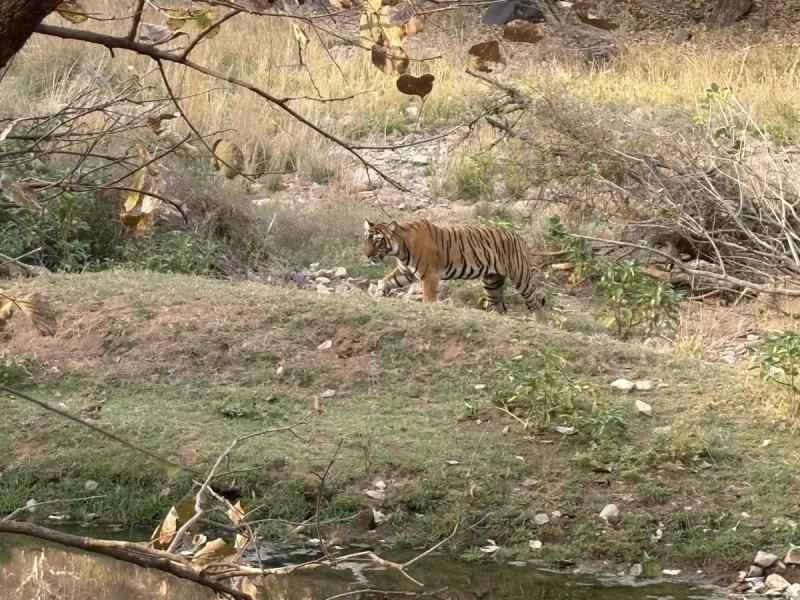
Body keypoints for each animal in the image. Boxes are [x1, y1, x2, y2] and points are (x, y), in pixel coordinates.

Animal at [363, 218, 546, 319]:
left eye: (378, 241)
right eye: (367, 239)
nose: (366, 254)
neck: (400, 249)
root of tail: (518, 237)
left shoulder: (429, 276)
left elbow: (428, 298)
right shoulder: (405, 272)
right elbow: (387, 280)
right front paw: (379, 292)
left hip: (521, 277)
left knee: (536, 305)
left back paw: (541, 323)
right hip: (492, 283)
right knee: (500, 307)